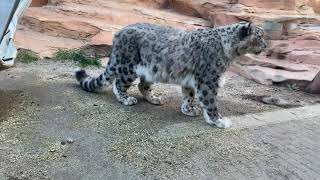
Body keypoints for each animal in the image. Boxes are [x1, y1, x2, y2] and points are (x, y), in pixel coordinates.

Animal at [75, 21, 268, 128]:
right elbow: (210, 102)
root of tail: (119, 32)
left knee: (142, 85)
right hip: (127, 66)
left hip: (150, 70)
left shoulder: (192, 81)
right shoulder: (209, 80)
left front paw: (188, 109)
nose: (266, 45)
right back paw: (126, 99)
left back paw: (154, 99)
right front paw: (218, 121)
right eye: (259, 36)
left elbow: (189, 95)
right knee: (119, 83)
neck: (230, 53)